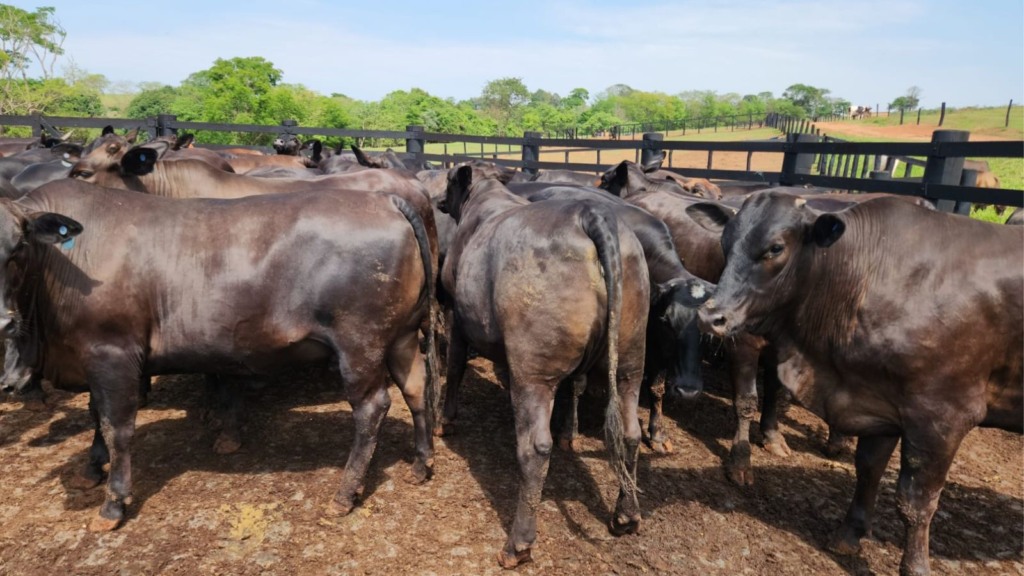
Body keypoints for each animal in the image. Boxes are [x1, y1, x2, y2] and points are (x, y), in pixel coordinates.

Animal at [0, 181, 436, 532]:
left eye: (18, 246)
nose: (3, 321)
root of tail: (386, 199)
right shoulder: (94, 359)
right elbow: (96, 414)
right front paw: (91, 469)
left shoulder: (112, 351)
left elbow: (115, 426)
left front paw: (112, 504)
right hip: (401, 336)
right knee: (415, 388)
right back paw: (422, 463)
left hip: (360, 343)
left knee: (372, 408)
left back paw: (345, 493)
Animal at [692, 190, 1019, 569]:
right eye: (725, 242)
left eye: (775, 248)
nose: (710, 316)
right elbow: (870, 470)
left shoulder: (942, 415)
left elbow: (914, 500)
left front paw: (909, 563)